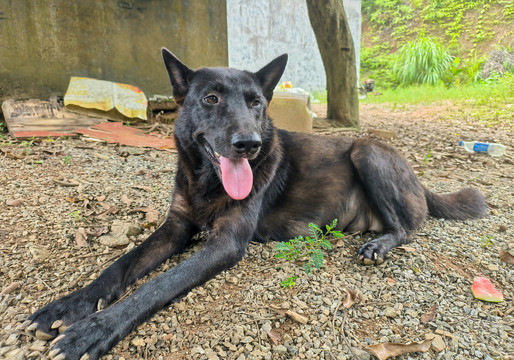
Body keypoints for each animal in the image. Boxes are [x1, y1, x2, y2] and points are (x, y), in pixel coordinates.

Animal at [28, 48, 484, 360]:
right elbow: (121, 266)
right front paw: (70, 305)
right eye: (210, 99)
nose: (249, 144)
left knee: (406, 228)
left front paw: (93, 330)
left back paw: (379, 244)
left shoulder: (225, 242)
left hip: (367, 150)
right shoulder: (175, 227)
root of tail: (419, 181)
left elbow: (156, 285)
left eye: (256, 103)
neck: (207, 183)